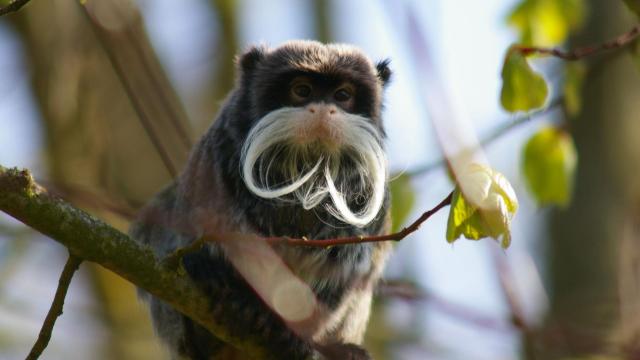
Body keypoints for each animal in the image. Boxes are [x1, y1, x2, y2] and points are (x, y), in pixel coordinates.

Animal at [129, 40, 390, 358]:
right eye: (302, 90)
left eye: (343, 96)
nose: (323, 110)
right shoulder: (215, 158)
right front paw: (221, 282)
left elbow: (342, 273)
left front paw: (290, 331)